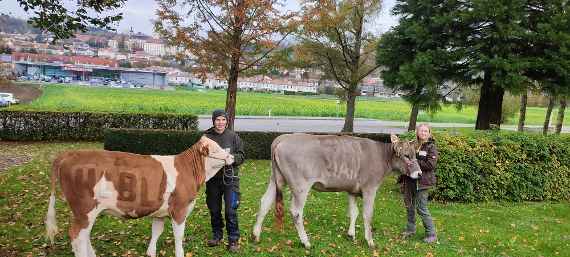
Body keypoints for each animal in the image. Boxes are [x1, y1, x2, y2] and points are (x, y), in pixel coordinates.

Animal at [45, 135, 233, 255]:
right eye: (216, 149)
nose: (232, 156)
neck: (187, 170)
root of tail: (70, 154)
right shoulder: (179, 209)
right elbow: (179, 236)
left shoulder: (160, 212)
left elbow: (156, 232)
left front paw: (150, 253)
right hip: (85, 209)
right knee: (77, 236)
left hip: (83, 212)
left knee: (84, 236)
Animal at [251, 133, 420, 247]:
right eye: (406, 155)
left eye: (416, 155)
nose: (419, 173)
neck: (381, 156)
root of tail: (283, 138)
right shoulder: (370, 188)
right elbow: (367, 215)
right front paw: (370, 241)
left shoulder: (352, 190)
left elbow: (354, 212)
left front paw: (351, 235)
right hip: (300, 186)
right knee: (296, 212)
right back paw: (306, 242)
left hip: (275, 180)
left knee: (265, 202)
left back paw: (256, 236)